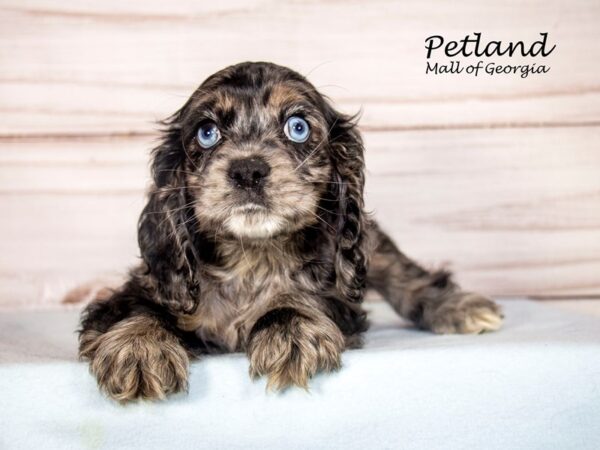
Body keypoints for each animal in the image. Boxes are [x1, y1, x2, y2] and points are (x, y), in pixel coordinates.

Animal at [78, 61, 502, 402]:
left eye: (297, 127)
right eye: (207, 132)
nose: (248, 170)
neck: (252, 256)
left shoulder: (339, 295)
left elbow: (301, 296)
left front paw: (289, 329)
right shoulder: (152, 284)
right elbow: (139, 309)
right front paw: (138, 348)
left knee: (404, 274)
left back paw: (460, 307)